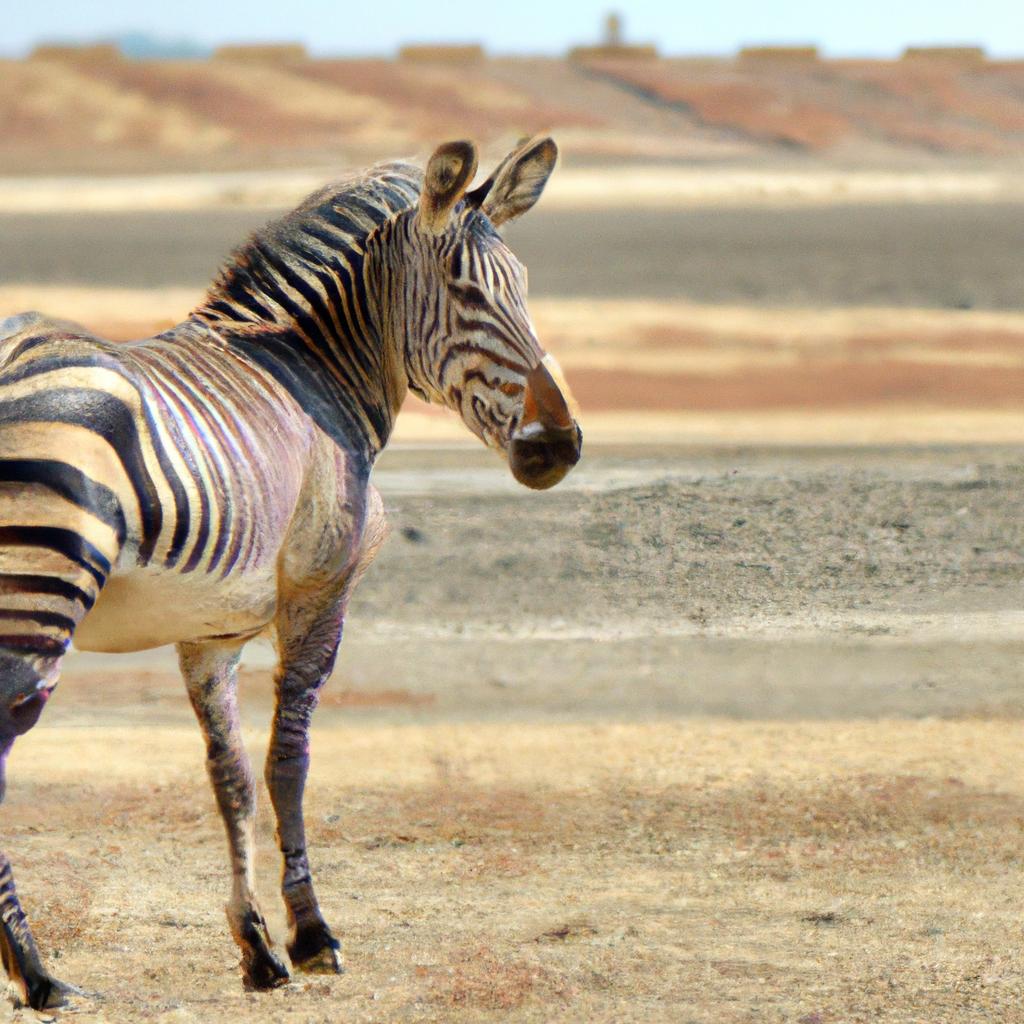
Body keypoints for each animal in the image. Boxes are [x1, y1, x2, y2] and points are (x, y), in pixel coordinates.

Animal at [0, 136, 581, 1009]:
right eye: (466, 291)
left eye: (524, 288)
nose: (562, 445)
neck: (306, 370)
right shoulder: (319, 591)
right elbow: (289, 760)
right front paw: (312, 936)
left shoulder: (209, 632)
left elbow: (230, 776)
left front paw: (256, 948)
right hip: (39, 598)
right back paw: (38, 975)